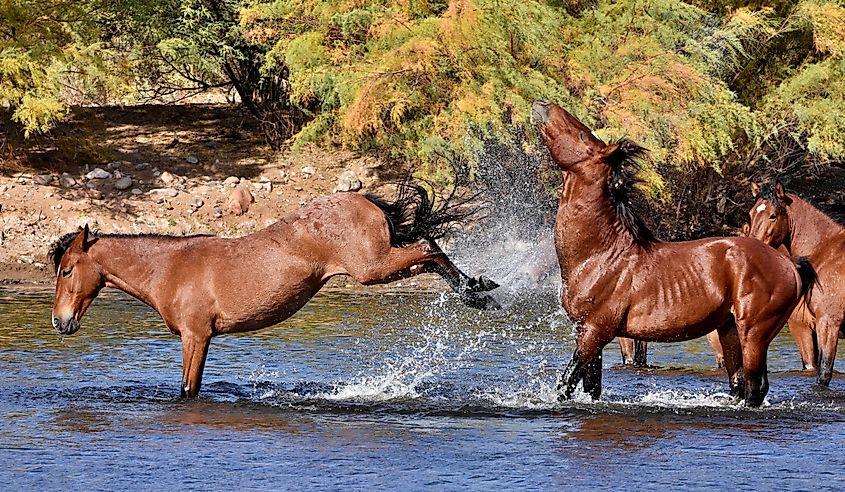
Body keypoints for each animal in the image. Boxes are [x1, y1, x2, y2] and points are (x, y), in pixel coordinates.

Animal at [50, 182, 500, 398]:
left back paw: (477, 291)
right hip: (381, 266)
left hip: (373, 267)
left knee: (427, 246)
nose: (59, 321)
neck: (171, 268)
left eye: (67, 270)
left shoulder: (196, 336)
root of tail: (365, 202)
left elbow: (187, 389)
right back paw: (479, 292)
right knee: (429, 250)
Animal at [531, 100, 816, 406]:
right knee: (740, 383)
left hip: (754, 332)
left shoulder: (595, 332)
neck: (599, 256)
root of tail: (790, 265)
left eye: (582, 135)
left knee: (754, 386)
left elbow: (566, 384)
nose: (542, 105)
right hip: (729, 330)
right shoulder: (586, 332)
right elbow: (591, 387)